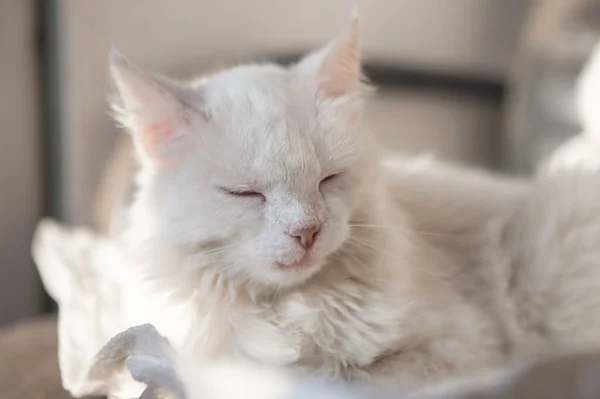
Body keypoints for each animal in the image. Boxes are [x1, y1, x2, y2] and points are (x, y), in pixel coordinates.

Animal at [32, 12, 600, 399]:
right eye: (246, 194)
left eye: (329, 180)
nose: (306, 231)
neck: (288, 307)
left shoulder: (457, 353)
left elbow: (335, 376)